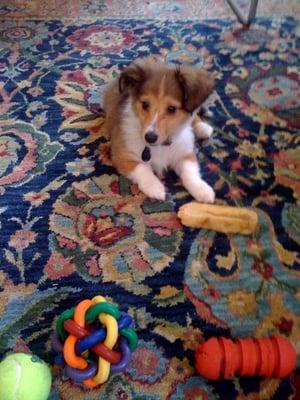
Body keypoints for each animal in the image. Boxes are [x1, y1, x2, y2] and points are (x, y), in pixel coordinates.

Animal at [103, 57, 216, 202]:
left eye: (172, 109)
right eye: (145, 104)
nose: (149, 137)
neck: (161, 146)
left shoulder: (185, 153)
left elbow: (190, 171)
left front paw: (202, 190)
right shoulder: (122, 156)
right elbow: (142, 168)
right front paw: (155, 187)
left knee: (194, 114)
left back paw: (202, 127)